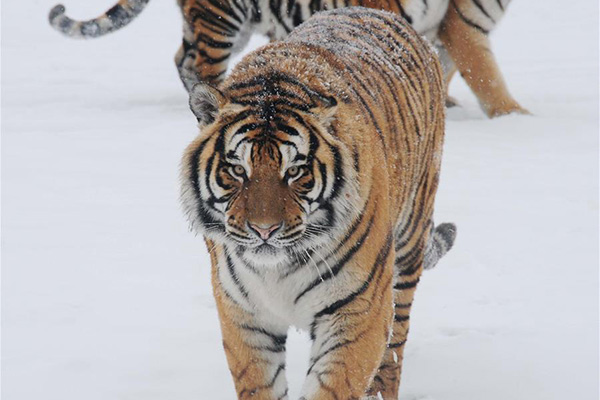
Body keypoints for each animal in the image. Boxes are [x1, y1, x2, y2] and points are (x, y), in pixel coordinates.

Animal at [180, 7, 458, 400]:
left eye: (295, 171)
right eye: (237, 169)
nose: (264, 230)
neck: (277, 270)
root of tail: (377, 11)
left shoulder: (357, 312)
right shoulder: (244, 315)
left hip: (408, 243)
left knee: (394, 348)